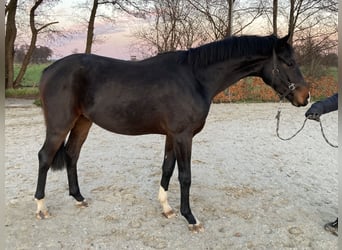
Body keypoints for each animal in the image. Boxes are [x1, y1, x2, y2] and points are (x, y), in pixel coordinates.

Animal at [34, 33, 310, 232]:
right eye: (289, 62)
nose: (305, 97)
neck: (195, 78)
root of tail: (49, 70)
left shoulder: (171, 136)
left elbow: (167, 168)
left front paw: (166, 208)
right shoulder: (183, 136)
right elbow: (185, 176)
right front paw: (190, 218)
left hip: (83, 122)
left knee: (72, 154)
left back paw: (78, 198)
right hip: (60, 125)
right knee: (45, 157)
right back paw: (41, 208)